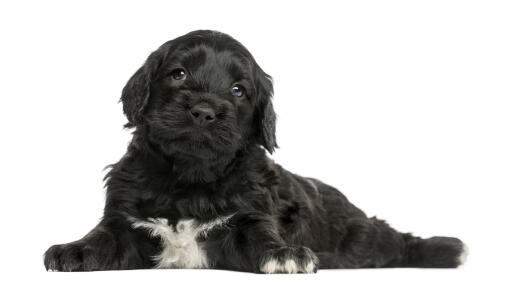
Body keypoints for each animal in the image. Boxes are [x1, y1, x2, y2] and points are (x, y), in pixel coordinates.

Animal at [43, 29, 466, 272]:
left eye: (238, 90)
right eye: (178, 74)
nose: (204, 111)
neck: (189, 178)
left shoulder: (249, 216)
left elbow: (264, 238)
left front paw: (286, 253)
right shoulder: (126, 219)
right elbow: (103, 237)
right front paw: (72, 250)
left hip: (358, 234)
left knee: (393, 240)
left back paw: (448, 249)